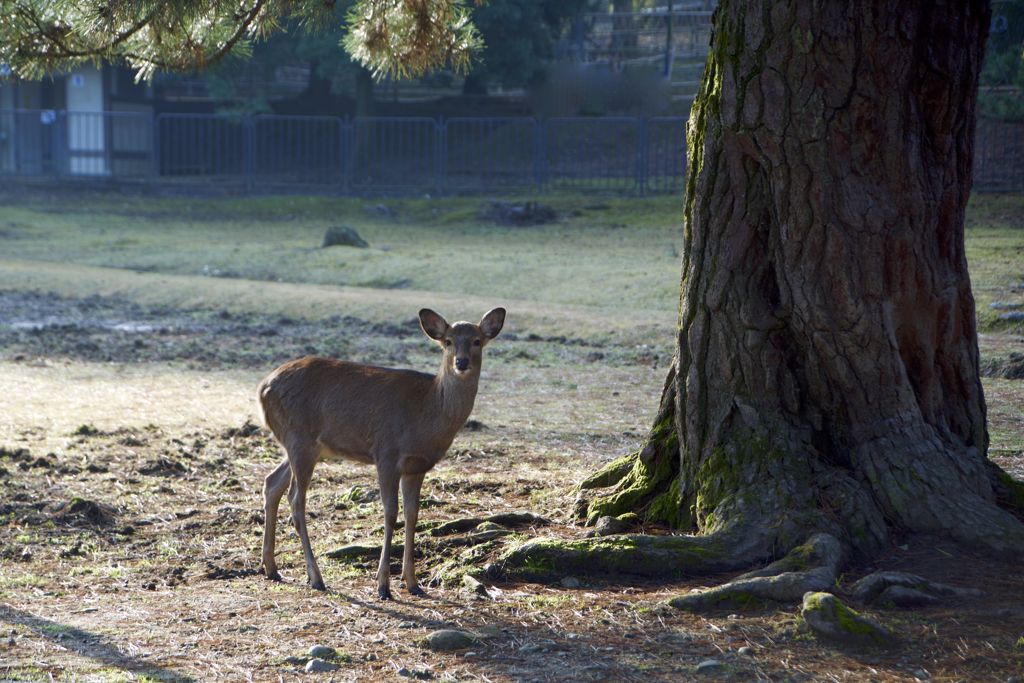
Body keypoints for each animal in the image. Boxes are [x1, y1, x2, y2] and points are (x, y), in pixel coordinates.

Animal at [256, 307, 503, 602]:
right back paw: (316, 577)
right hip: (300, 439)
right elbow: (390, 511)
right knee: (296, 498)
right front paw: (383, 584)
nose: (462, 362)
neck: (427, 413)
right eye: (448, 341)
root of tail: (262, 389)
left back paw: (271, 568)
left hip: (300, 444)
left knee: (272, 483)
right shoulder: (387, 453)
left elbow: (413, 514)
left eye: (477, 340)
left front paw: (412, 582)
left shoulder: (417, 466)